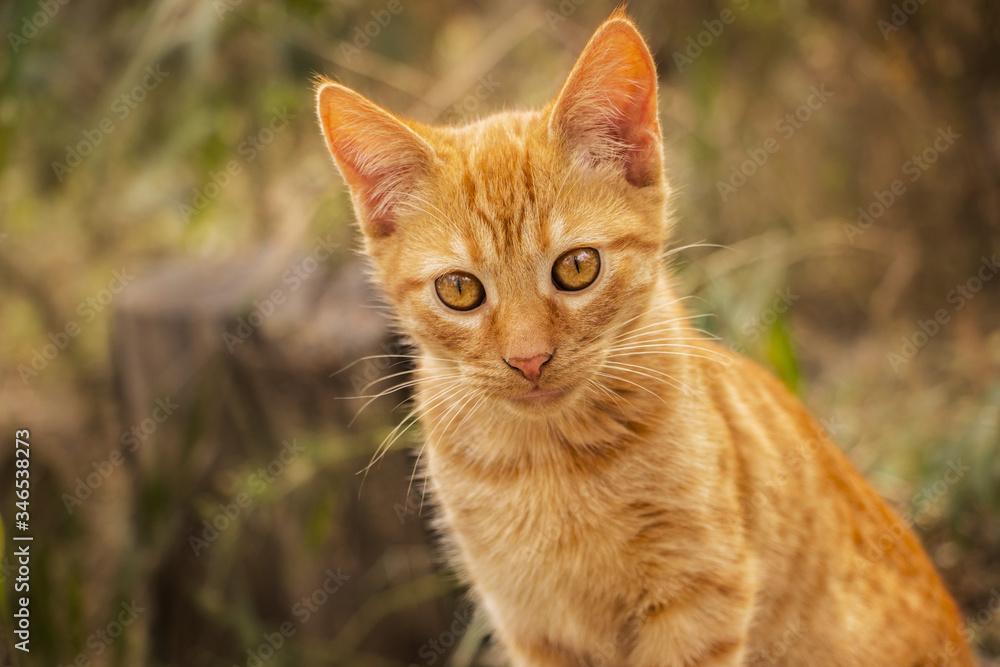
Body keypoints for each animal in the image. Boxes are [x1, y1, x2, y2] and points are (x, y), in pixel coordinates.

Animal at [316, 11, 972, 667]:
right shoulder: (530, 625)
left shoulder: (700, 597)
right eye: (459, 290)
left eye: (577, 267)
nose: (529, 360)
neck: (550, 465)